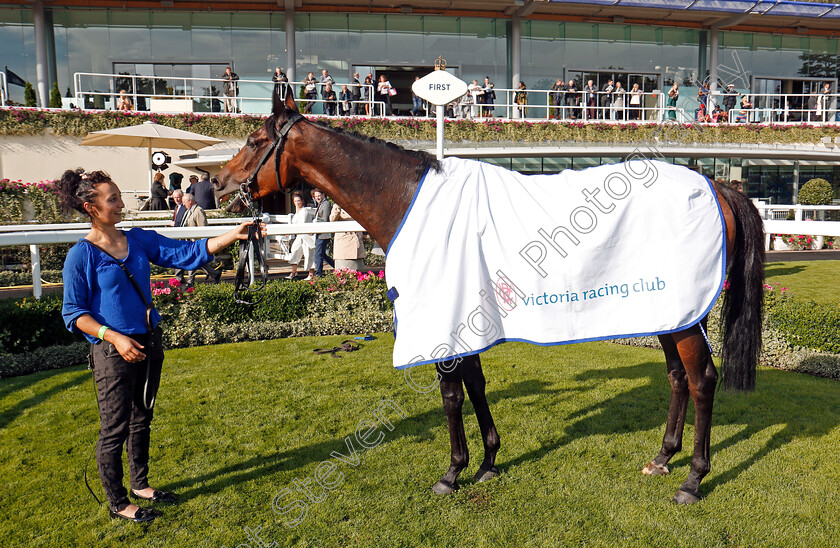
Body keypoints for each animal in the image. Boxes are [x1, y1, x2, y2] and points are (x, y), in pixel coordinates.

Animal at [213, 89, 764, 506]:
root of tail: (717, 186)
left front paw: (452, 472)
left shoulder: (442, 320)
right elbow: (476, 387)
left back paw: (694, 479)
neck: (407, 200)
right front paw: (488, 462)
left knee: (702, 380)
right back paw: (662, 458)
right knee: (677, 378)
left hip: (684, 317)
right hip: (668, 309)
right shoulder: (466, 317)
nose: (216, 183)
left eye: (255, 139)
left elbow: (452, 396)